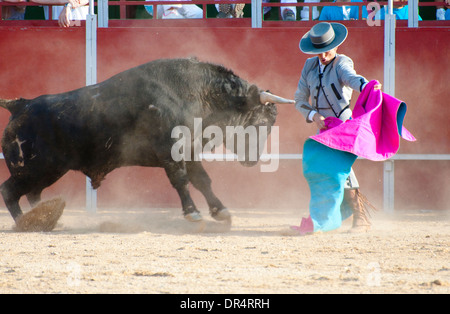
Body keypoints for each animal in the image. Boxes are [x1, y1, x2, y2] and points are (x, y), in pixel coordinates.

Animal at [0, 57, 294, 228]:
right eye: (262, 122)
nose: (252, 160)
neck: (197, 93)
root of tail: (20, 105)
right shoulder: (171, 152)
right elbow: (181, 180)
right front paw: (192, 213)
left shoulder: (190, 151)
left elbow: (203, 180)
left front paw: (220, 211)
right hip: (34, 169)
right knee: (10, 191)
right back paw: (26, 223)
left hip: (48, 171)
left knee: (32, 193)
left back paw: (45, 219)